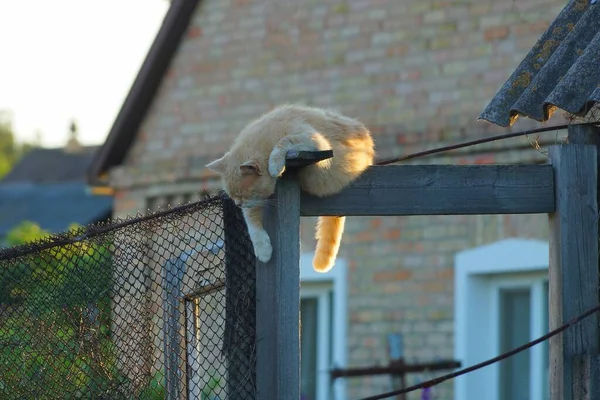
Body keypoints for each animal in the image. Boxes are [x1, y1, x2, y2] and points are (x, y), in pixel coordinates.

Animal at [206, 104, 376, 272]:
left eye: (243, 194)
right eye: (233, 196)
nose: (238, 204)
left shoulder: (312, 139)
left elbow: (284, 141)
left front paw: (274, 165)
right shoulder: (254, 203)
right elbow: (252, 223)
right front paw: (263, 249)